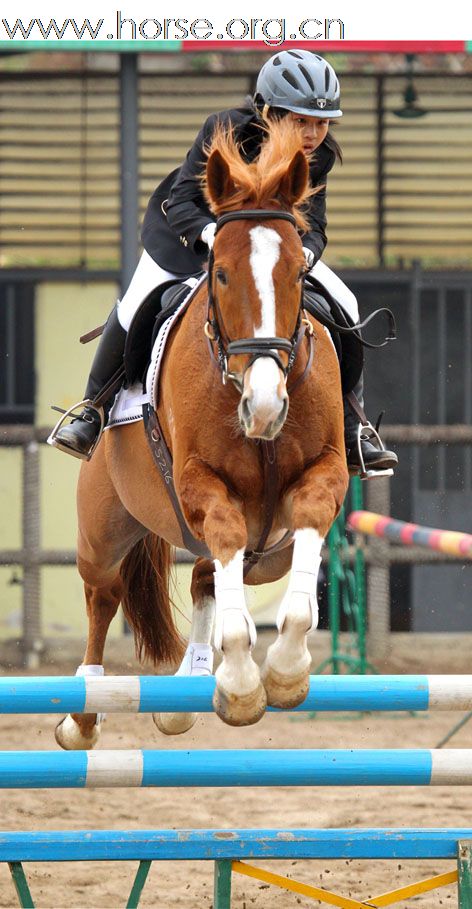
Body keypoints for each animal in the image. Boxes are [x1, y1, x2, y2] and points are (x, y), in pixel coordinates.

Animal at [56, 117, 350, 748]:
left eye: (298, 273)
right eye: (220, 272)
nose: (264, 405)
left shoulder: (324, 476)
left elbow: (291, 601)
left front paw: (282, 675)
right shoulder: (201, 485)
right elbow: (225, 558)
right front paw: (241, 686)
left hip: (270, 553)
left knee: (207, 577)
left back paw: (183, 697)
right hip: (104, 527)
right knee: (104, 594)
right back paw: (83, 716)